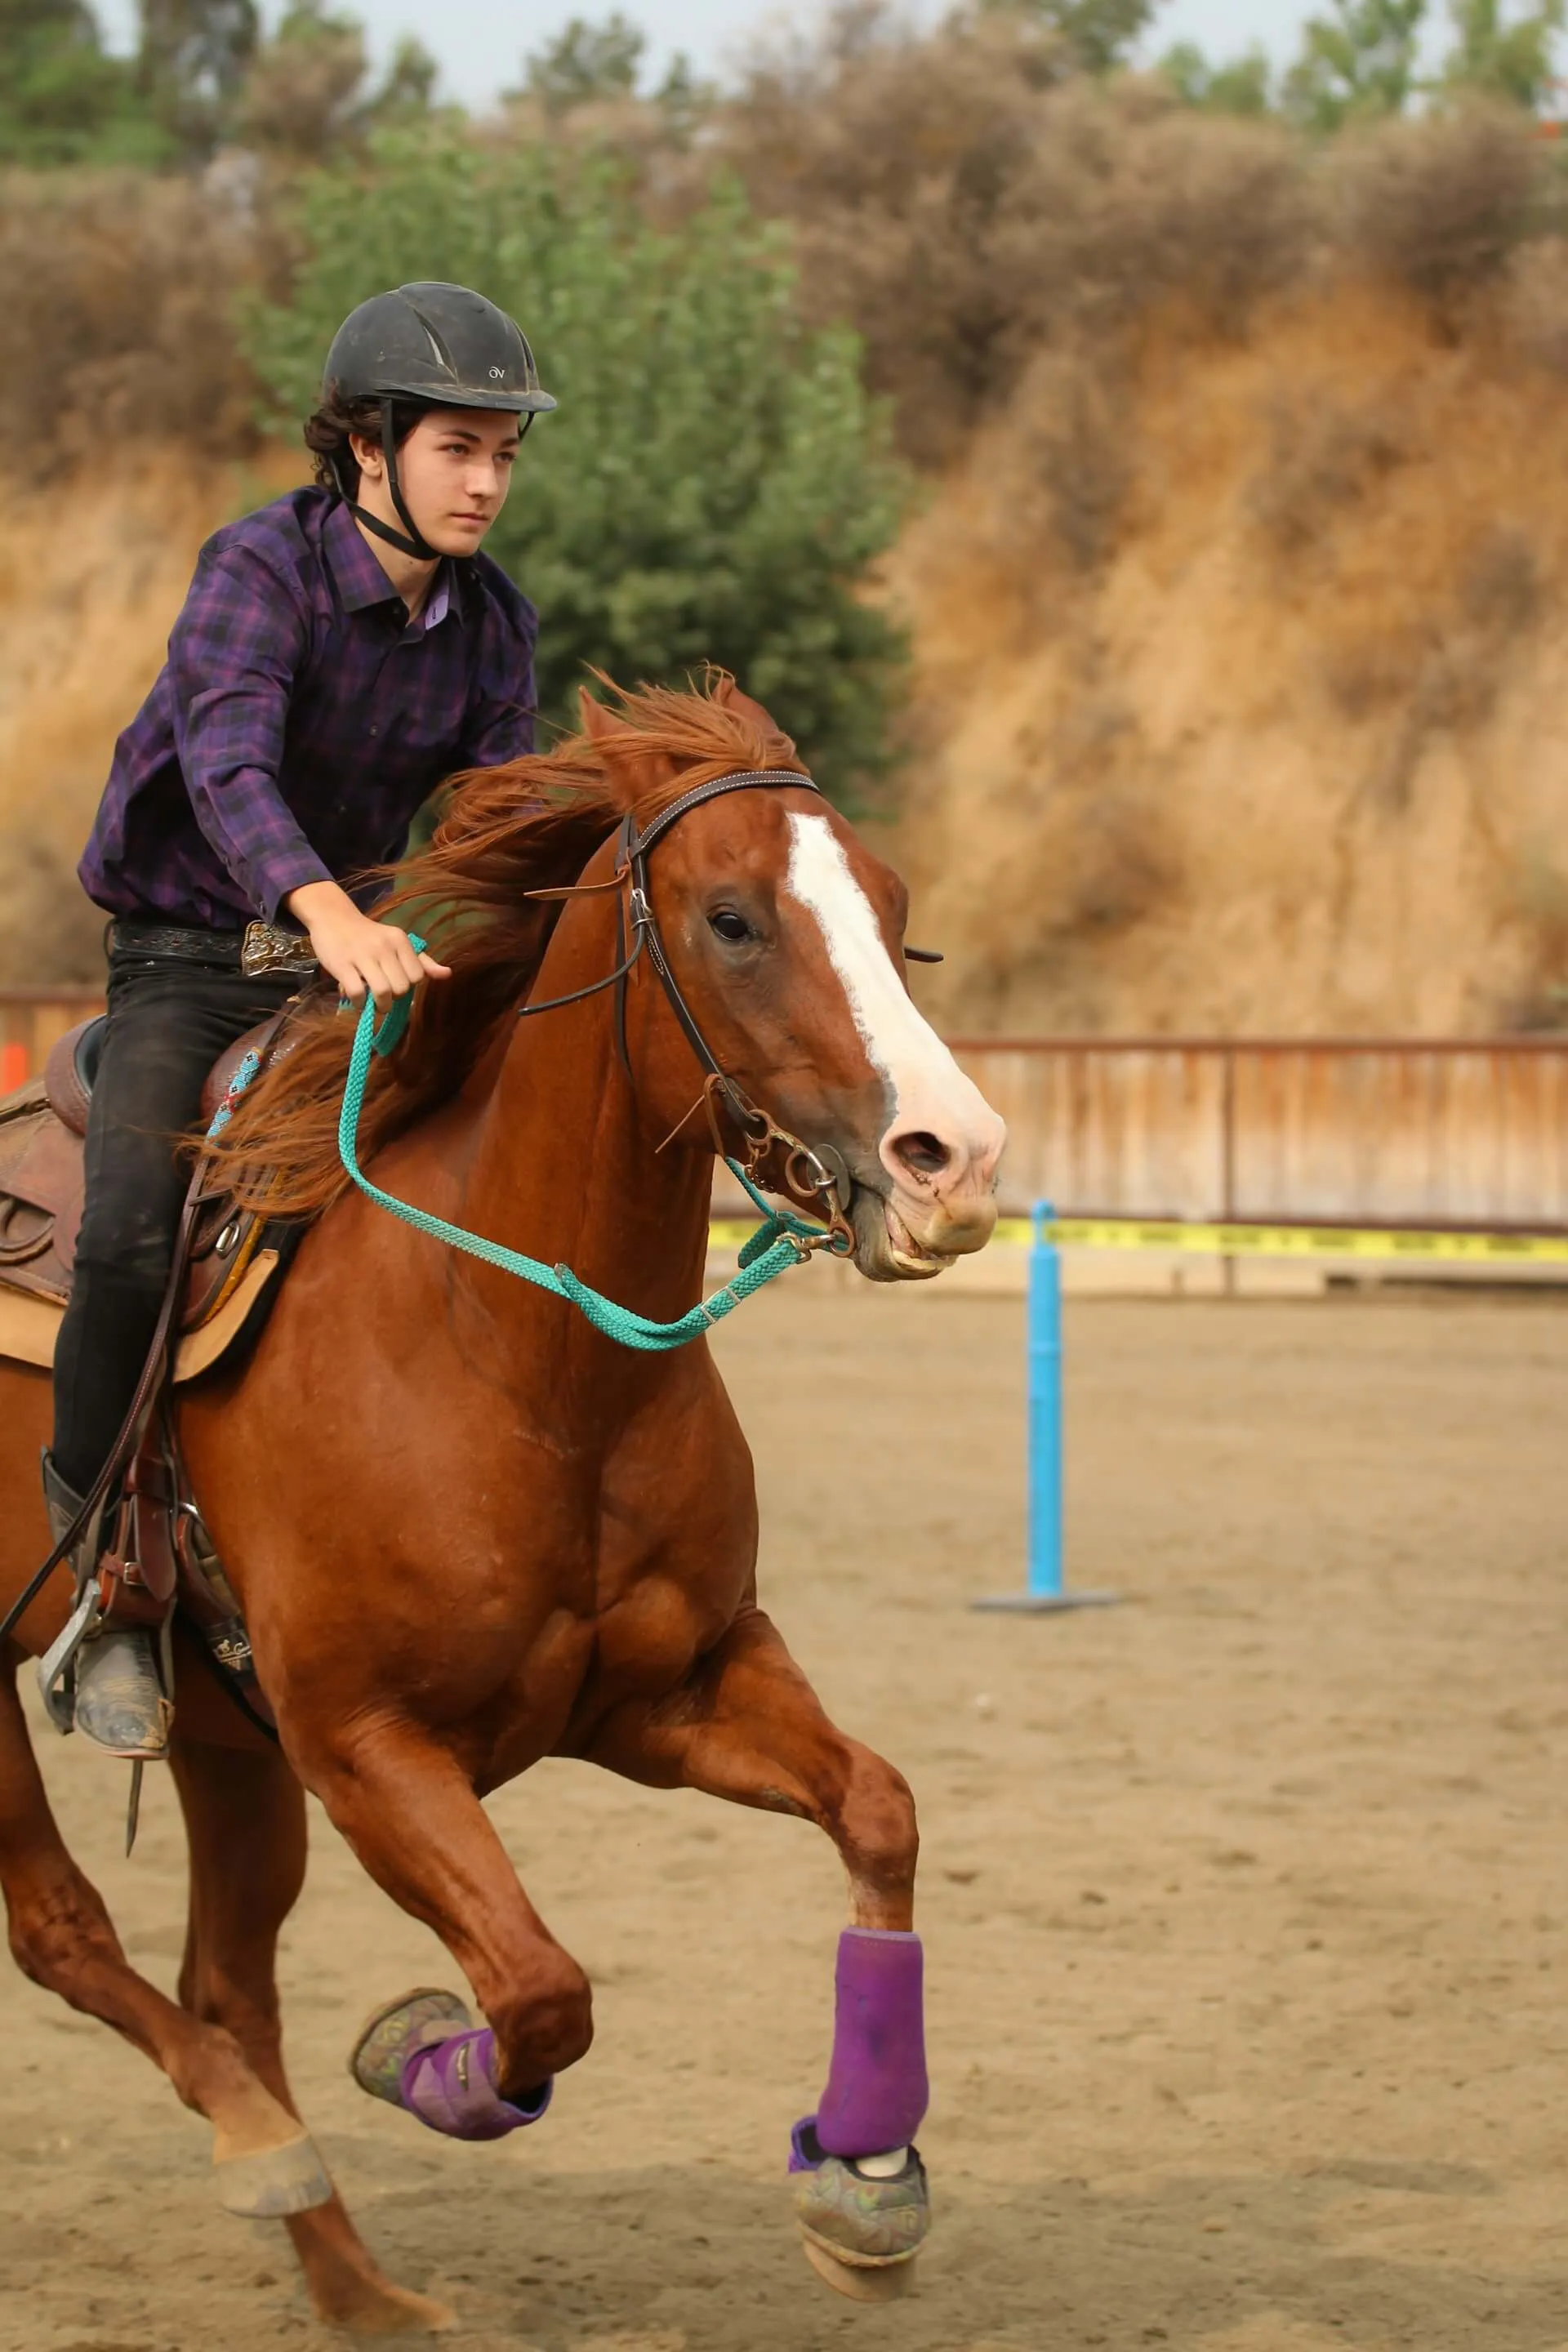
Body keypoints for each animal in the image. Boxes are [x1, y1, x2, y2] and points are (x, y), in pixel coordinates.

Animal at [0, 674, 1006, 2331]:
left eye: (896, 905)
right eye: (734, 918)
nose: (957, 1160)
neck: (513, 1352)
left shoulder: (664, 1693)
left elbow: (879, 1809)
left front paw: (863, 2176)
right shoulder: (369, 1748)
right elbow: (540, 1990)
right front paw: (420, 2052)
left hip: (228, 1746)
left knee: (227, 1984)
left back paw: (359, 2291)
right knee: (70, 1934)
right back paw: (265, 2147)